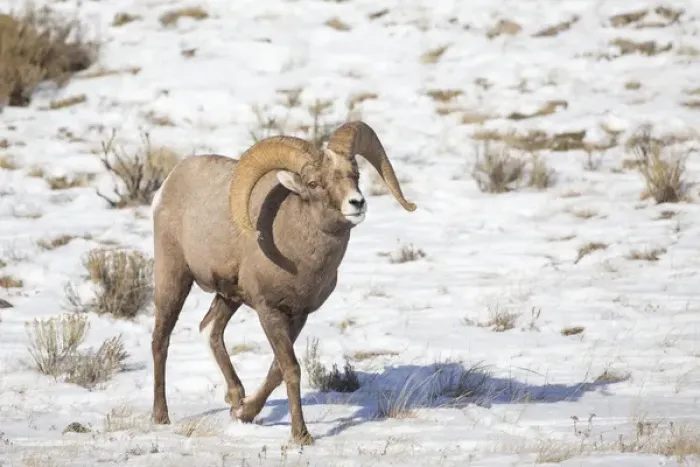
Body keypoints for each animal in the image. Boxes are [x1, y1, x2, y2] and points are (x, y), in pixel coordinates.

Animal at [150, 120, 416, 445]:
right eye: (313, 184)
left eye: (355, 175)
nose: (357, 203)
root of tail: (171, 180)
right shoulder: (269, 312)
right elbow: (291, 369)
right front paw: (301, 436)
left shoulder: (297, 315)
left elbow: (277, 370)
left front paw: (244, 413)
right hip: (173, 279)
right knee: (161, 340)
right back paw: (160, 416)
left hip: (229, 297)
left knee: (211, 331)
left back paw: (235, 397)